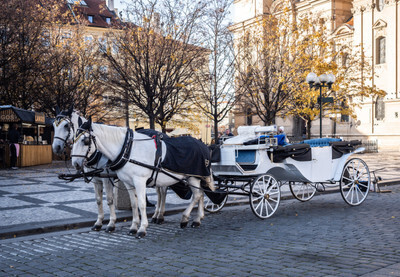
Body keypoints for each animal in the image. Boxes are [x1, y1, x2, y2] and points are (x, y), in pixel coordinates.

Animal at [70, 117, 214, 237]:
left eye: (85, 141)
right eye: (73, 140)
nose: (75, 163)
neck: (128, 149)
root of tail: (203, 145)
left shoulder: (138, 181)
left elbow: (141, 203)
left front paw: (142, 228)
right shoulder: (127, 183)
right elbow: (133, 204)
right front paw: (133, 227)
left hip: (193, 177)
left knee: (197, 195)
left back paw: (185, 218)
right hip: (192, 178)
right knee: (200, 193)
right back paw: (196, 219)